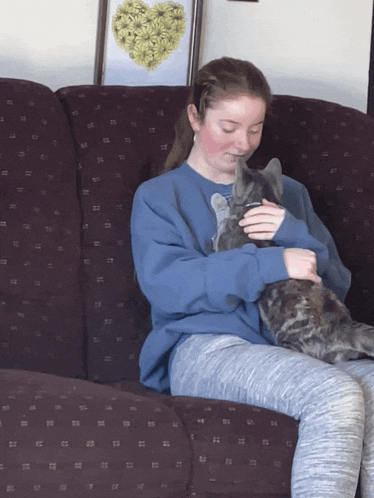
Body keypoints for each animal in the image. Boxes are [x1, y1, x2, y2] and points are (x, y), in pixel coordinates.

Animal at [210, 160, 374, 366]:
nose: (223, 190)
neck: (256, 203)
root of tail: (341, 326)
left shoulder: (221, 244)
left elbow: (221, 217)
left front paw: (218, 200)